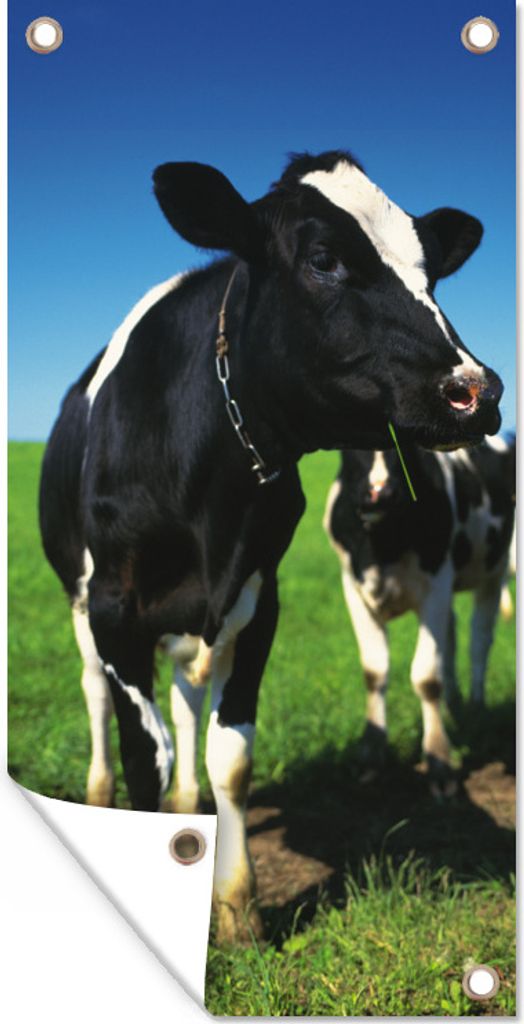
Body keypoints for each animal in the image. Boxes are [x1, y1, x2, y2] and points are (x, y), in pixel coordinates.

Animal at [324, 435, 515, 795]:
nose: (379, 493)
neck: (382, 545)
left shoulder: (436, 585)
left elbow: (427, 677)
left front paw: (440, 762)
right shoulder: (352, 587)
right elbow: (374, 672)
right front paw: (372, 755)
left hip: (494, 572)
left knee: (479, 641)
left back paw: (477, 708)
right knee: (452, 636)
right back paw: (455, 705)